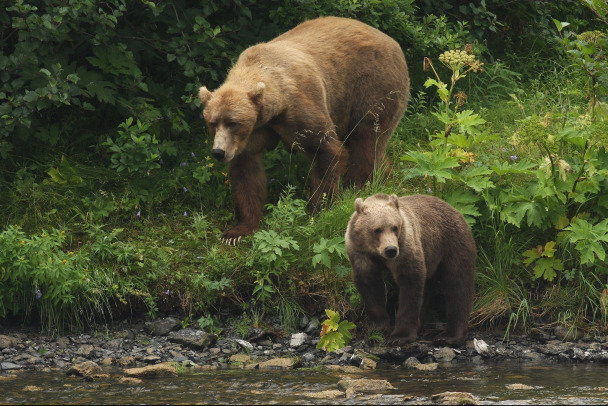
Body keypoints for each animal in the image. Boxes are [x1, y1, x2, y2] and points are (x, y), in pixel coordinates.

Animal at [198, 15, 408, 244]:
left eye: (233, 122)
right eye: (212, 123)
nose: (218, 152)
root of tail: (392, 41)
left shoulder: (300, 107)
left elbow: (324, 150)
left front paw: (318, 210)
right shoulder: (253, 132)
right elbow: (246, 172)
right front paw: (237, 231)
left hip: (372, 84)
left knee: (367, 136)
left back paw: (360, 187)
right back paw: (382, 177)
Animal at [344, 193, 478, 346]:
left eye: (395, 227)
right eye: (377, 229)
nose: (391, 249)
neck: (377, 254)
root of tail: (454, 209)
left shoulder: (405, 248)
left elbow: (410, 285)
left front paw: (399, 336)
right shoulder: (360, 253)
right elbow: (370, 286)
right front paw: (377, 329)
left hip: (453, 244)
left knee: (457, 284)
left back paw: (449, 335)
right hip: (431, 256)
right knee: (428, 287)